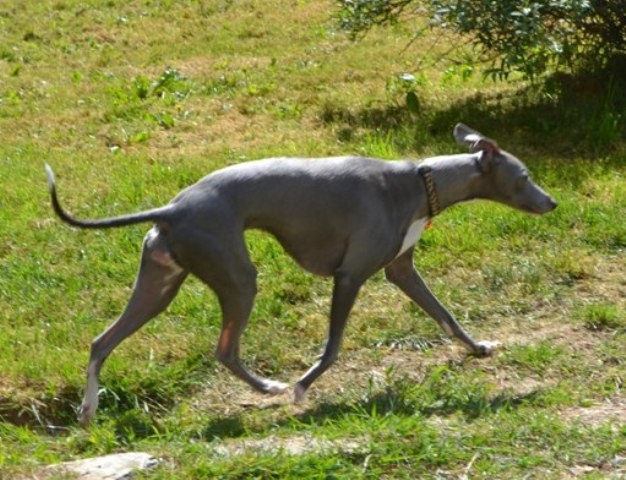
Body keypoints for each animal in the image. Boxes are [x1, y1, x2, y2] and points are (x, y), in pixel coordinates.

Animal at [46, 124, 560, 424]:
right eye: (525, 176)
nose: (553, 203)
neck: (418, 180)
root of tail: (171, 208)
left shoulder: (400, 271)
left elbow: (445, 315)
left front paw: (477, 348)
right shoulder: (350, 276)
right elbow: (332, 348)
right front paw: (302, 387)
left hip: (160, 283)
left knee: (101, 342)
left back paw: (88, 411)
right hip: (237, 278)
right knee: (225, 348)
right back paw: (272, 387)